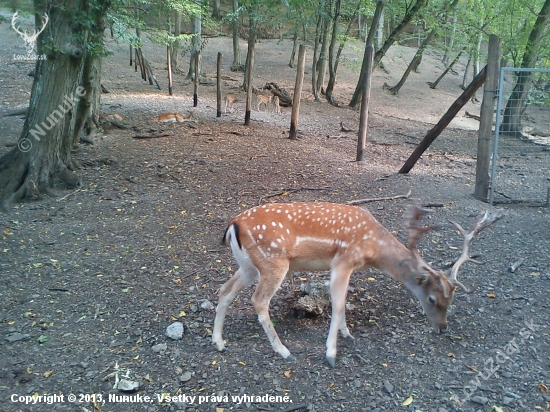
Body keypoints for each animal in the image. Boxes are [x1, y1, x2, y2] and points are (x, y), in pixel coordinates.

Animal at [213, 203, 506, 366]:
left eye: (451, 299)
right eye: (433, 299)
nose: (443, 328)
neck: (373, 250)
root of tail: (233, 224)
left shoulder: (349, 267)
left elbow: (342, 304)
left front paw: (347, 334)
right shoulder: (342, 261)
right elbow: (338, 305)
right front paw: (331, 354)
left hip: (249, 265)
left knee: (224, 290)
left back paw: (219, 342)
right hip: (273, 262)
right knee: (258, 301)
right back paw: (284, 351)